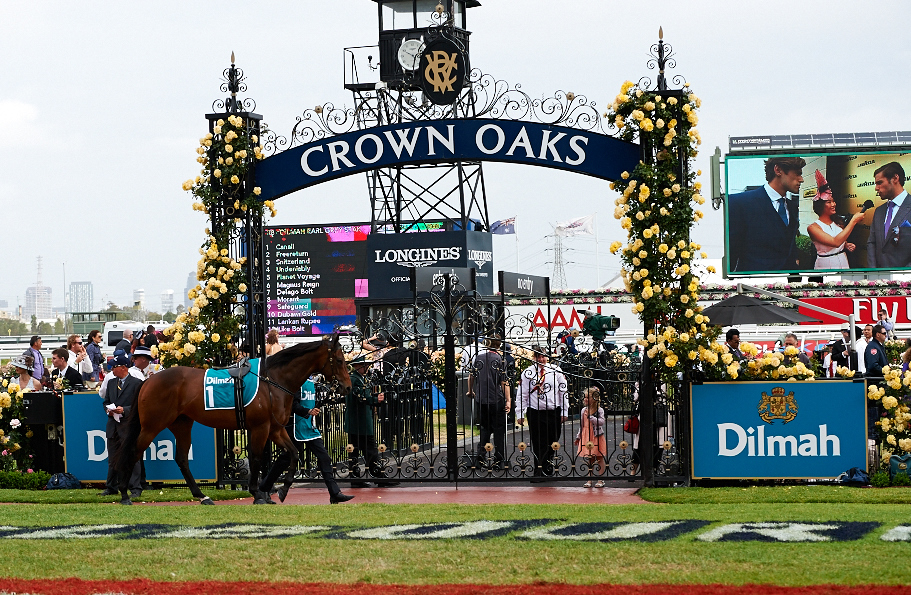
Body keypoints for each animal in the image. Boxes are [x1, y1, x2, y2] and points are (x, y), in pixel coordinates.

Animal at [113, 336, 352, 502]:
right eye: (340, 360)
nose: (348, 387)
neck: (271, 380)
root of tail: (148, 380)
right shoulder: (261, 428)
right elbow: (256, 458)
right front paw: (257, 493)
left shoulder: (275, 429)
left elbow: (292, 453)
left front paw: (282, 489)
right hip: (152, 425)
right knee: (134, 452)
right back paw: (124, 494)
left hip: (181, 424)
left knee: (181, 458)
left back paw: (202, 496)